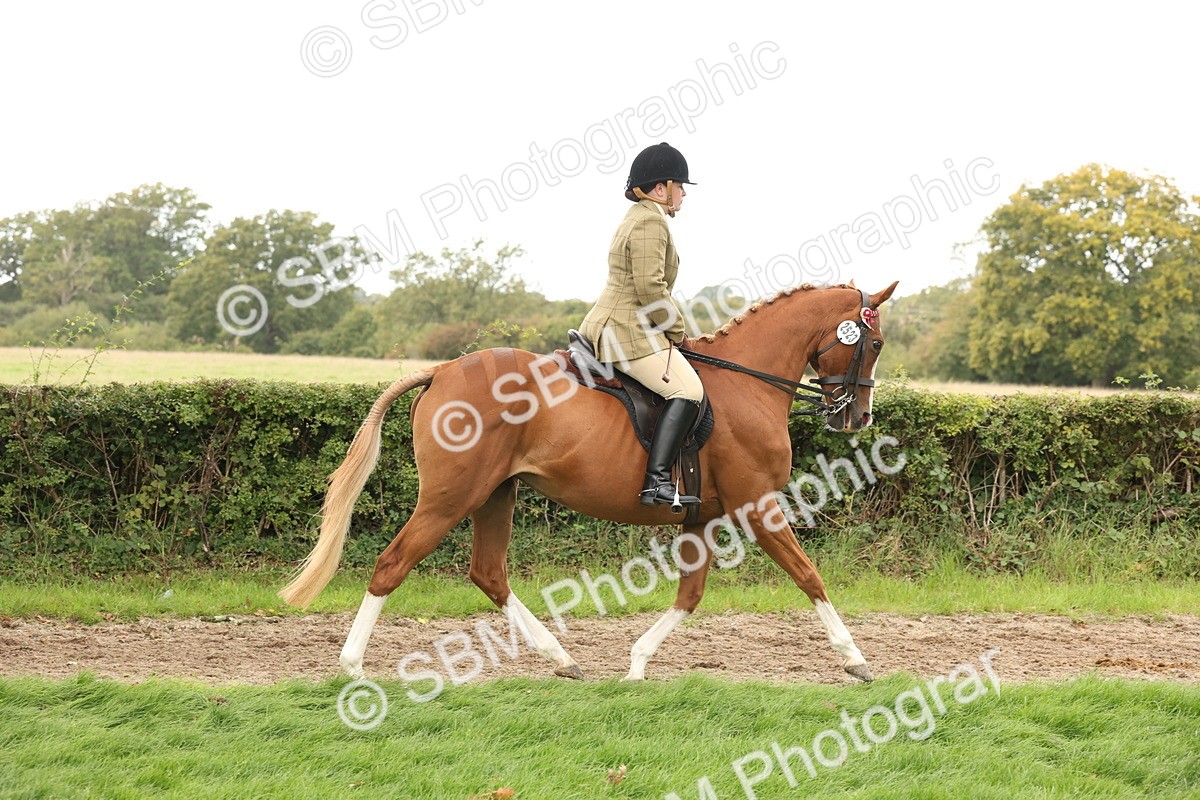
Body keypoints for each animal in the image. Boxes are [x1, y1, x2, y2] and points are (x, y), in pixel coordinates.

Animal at [279, 280, 898, 683]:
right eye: (874, 344)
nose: (859, 418)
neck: (748, 384)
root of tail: (443, 370)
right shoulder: (759, 506)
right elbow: (809, 575)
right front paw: (856, 659)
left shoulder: (700, 517)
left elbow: (690, 595)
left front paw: (637, 664)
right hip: (450, 497)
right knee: (393, 564)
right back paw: (352, 666)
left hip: (495, 494)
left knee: (488, 573)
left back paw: (561, 658)